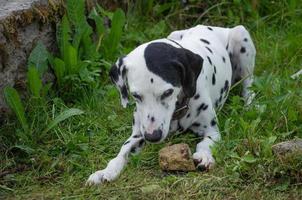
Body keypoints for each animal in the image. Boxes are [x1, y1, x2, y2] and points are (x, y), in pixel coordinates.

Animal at [86, 24, 256, 185]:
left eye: (168, 92)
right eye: (136, 95)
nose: (153, 136)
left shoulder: (212, 132)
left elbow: (205, 144)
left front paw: (204, 156)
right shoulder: (138, 134)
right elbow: (123, 150)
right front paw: (106, 171)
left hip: (241, 39)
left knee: (249, 84)